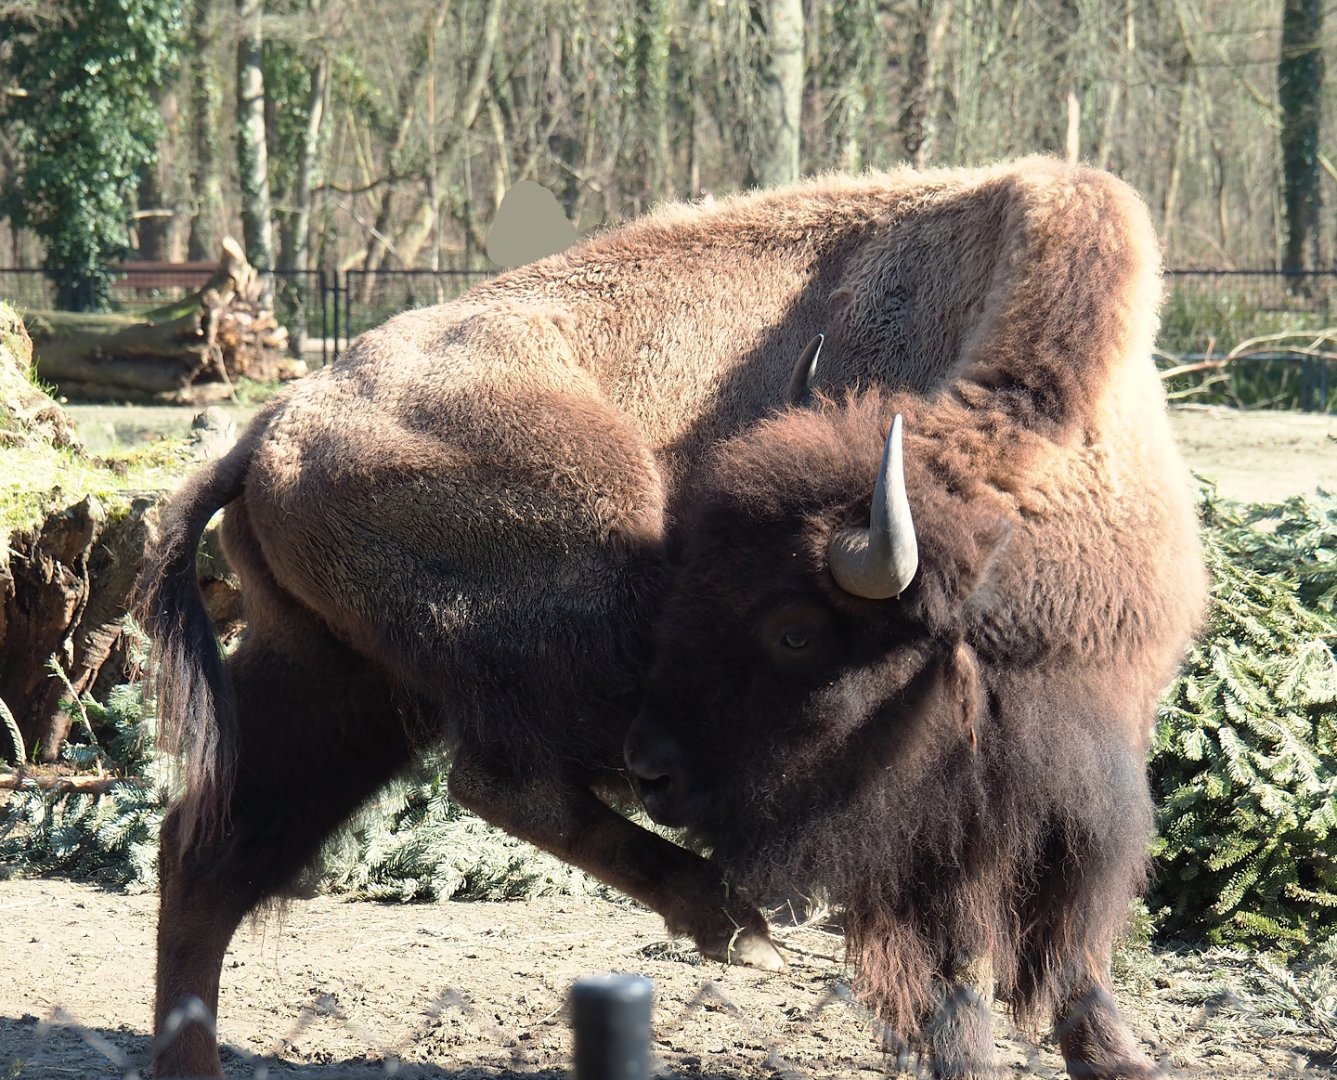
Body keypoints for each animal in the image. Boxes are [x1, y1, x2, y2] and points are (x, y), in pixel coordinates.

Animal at [137, 157, 1202, 1079]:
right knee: (498, 785)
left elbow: (1066, 946)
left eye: (793, 629)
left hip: (332, 684)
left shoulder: (1080, 765)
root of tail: (267, 431)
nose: (654, 769)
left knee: (206, 851)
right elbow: (956, 965)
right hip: (549, 606)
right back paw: (735, 927)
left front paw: (1116, 1062)